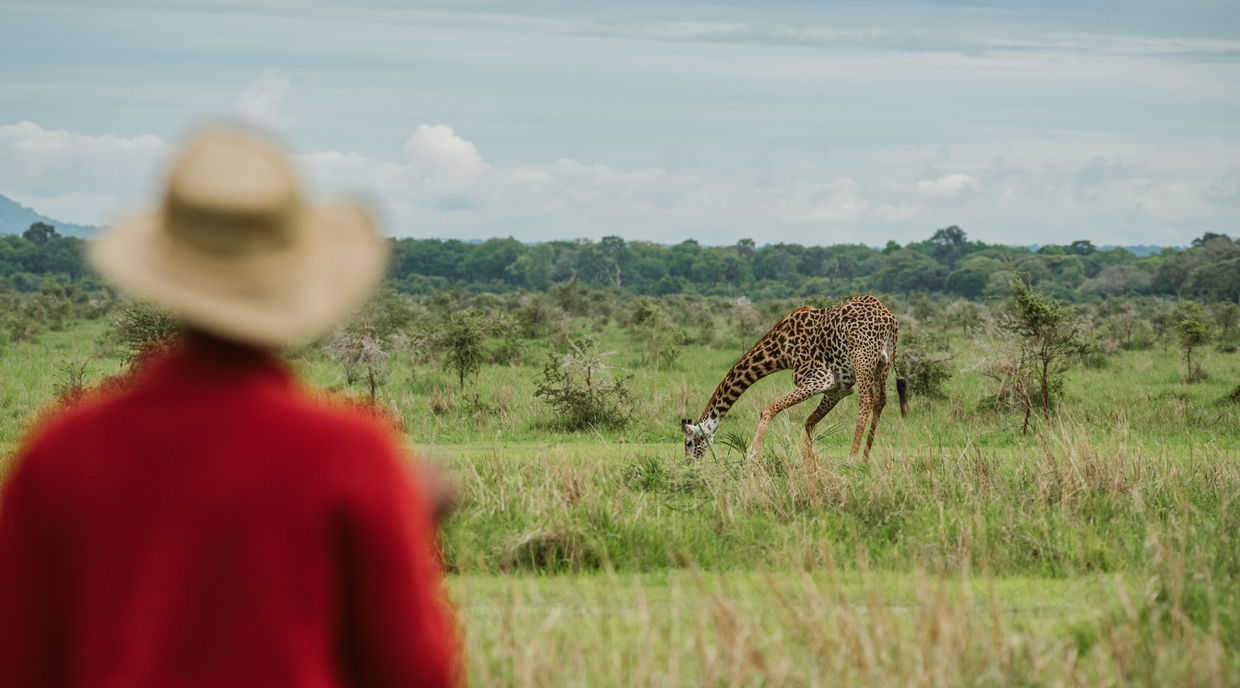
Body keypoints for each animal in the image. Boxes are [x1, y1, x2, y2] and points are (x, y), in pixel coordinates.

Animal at [684, 296, 907, 463]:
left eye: (689, 443)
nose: (688, 462)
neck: (781, 351)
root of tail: (891, 320)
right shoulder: (839, 388)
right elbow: (808, 422)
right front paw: (808, 459)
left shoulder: (821, 378)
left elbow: (768, 409)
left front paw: (753, 453)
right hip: (882, 363)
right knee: (880, 401)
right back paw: (865, 457)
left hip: (862, 356)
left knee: (867, 399)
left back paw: (852, 458)